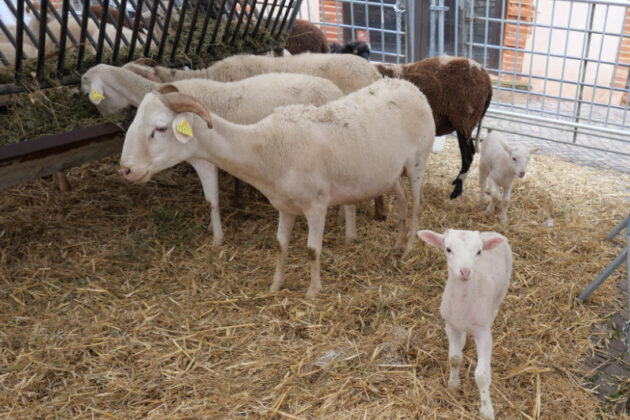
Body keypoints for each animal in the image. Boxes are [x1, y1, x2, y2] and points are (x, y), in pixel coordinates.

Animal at [81, 67, 354, 244]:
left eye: (159, 129)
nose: (126, 170)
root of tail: (334, 90)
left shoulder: (205, 161)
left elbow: (211, 200)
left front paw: (217, 239)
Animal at [121, 77, 436, 296]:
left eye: (160, 128)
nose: (126, 170)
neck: (266, 149)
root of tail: (409, 85)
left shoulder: (317, 205)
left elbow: (312, 249)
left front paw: (312, 291)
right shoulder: (285, 206)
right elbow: (280, 245)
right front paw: (275, 285)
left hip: (417, 162)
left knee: (417, 207)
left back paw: (408, 250)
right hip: (391, 171)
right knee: (403, 201)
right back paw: (397, 244)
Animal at [420, 230, 512, 420]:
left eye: (479, 251)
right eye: (448, 249)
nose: (464, 271)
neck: (462, 305)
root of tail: (491, 232)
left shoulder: (483, 333)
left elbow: (482, 374)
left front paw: (486, 410)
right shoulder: (451, 325)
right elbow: (455, 358)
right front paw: (453, 385)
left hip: (503, 287)